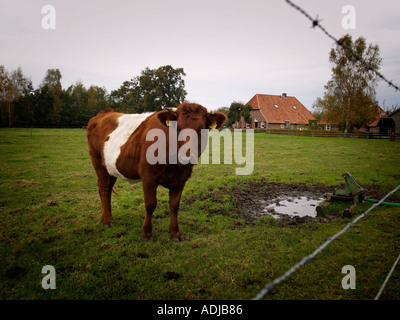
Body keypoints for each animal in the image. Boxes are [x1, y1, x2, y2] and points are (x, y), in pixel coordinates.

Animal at [86, 102, 227, 240]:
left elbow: (174, 206)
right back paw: (107, 220)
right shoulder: (148, 177)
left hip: (111, 168)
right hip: (98, 163)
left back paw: (109, 216)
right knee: (104, 189)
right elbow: (150, 204)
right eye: (178, 129)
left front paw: (175, 233)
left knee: (109, 189)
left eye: (201, 130)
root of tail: (104, 112)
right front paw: (146, 233)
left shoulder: (181, 179)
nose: (185, 158)